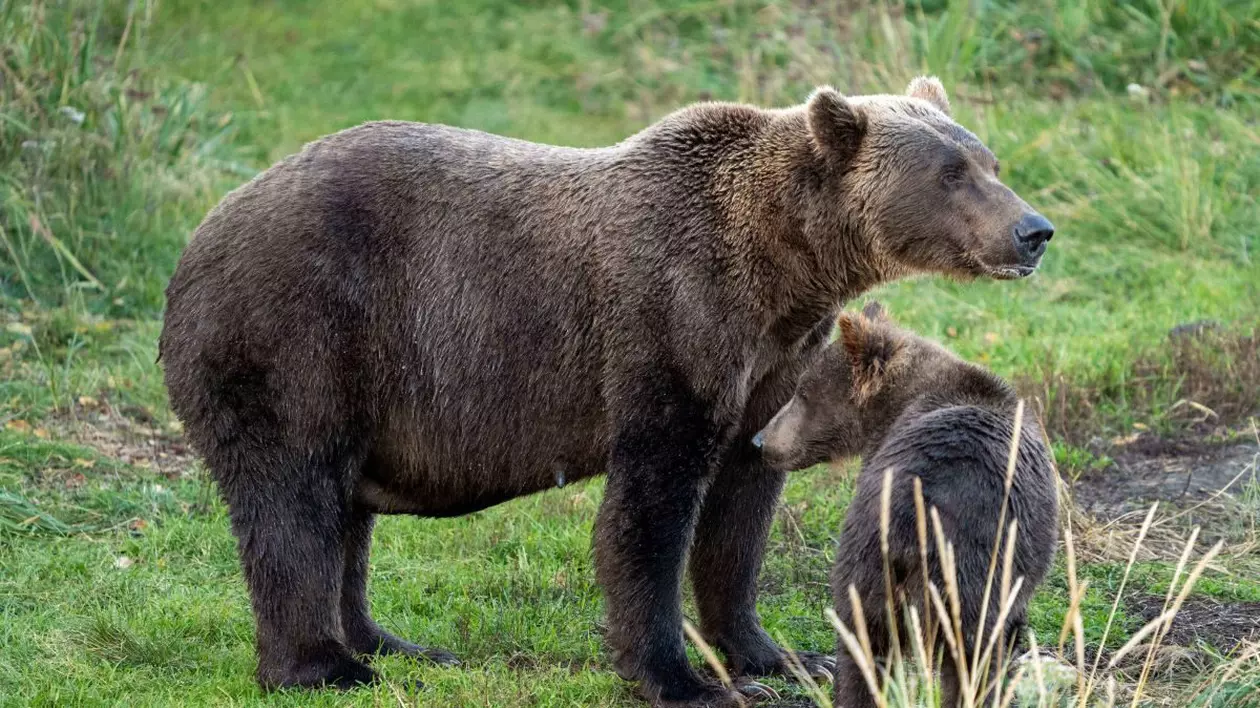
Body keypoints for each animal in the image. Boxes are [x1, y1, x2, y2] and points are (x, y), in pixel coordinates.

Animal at [160, 77, 1053, 705]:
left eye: (991, 161)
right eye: (951, 172)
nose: (1034, 229)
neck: (780, 268)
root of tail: (197, 238)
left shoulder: (770, 365)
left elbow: (742, 507)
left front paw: (772, 654)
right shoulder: (669, 323)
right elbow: (649, 509)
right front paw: (682, 678)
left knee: (345, 509)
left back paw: (391, 642)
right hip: (298, 332)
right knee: (293, 496)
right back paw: (324, 666)